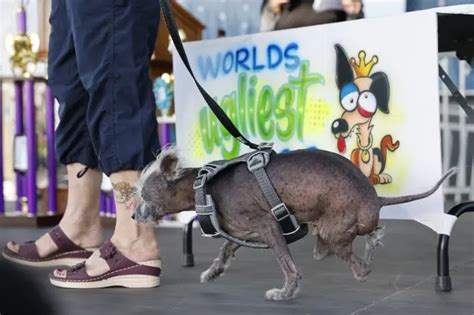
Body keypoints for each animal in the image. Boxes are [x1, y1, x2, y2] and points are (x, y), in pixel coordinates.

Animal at [133, 148, 456, 302]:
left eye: (144, 196)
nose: (134, 216)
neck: (204, 187)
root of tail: (376, 198)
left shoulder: (269, 226)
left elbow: (288, 267)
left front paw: (285, 294)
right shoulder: (241, 231)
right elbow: (225, 251)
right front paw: (213, 273)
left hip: (330, 231)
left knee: (362, 268)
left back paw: (366, 257)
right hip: (330, 232)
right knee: (359, 245)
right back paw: (375, 237)